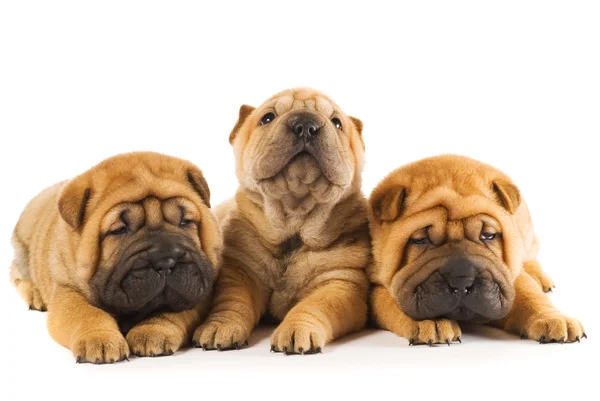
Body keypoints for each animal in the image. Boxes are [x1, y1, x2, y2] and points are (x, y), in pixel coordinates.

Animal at [9, 152, 223, 360]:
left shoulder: (198, 290)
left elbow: (173, 312)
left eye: (185, 221)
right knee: (15, 272)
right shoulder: (67, 291)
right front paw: (100, 340)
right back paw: (35, 294)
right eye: (119, 230)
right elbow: (86, 314)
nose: (165, 262)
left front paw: (152, 332)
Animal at [192, 87, 370, 354]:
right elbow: (232, 301)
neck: (294, 226)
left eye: (337, 122)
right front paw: (219, 327)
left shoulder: (340, 284)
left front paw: (296, 330)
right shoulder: (241, 272)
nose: (305, 125)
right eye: (267, 118)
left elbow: (313, 306)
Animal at [368, 155, 584, 344]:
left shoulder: (510, 274)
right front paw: (431, 321)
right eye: (421, 240)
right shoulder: (376, 288)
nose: (461, 281)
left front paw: (552, 319)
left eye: (488, 235)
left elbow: (530, 294)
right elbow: (393, 302)